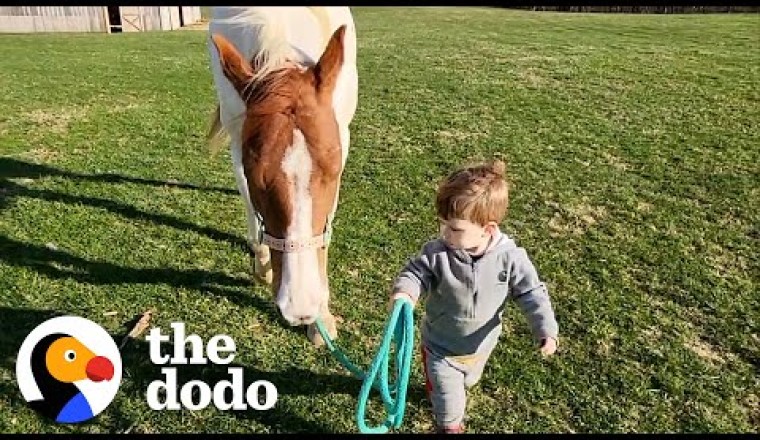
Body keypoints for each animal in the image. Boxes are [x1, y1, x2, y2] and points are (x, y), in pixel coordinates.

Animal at [205, 7, 358, 346]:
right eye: (257, 177)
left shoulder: (342, 137)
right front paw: (263, 264)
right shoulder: (239, 142)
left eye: (333, 171)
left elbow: (325, 231)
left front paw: (322, 317)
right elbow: (250, 203)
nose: (300, 307)